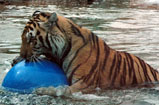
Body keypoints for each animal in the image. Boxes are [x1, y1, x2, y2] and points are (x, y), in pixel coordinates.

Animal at [12, 10, 159, 96]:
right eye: (22, 38)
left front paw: (42, 90)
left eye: (32, 40)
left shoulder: (86, 83)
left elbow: (62, 90)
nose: (23, 56)